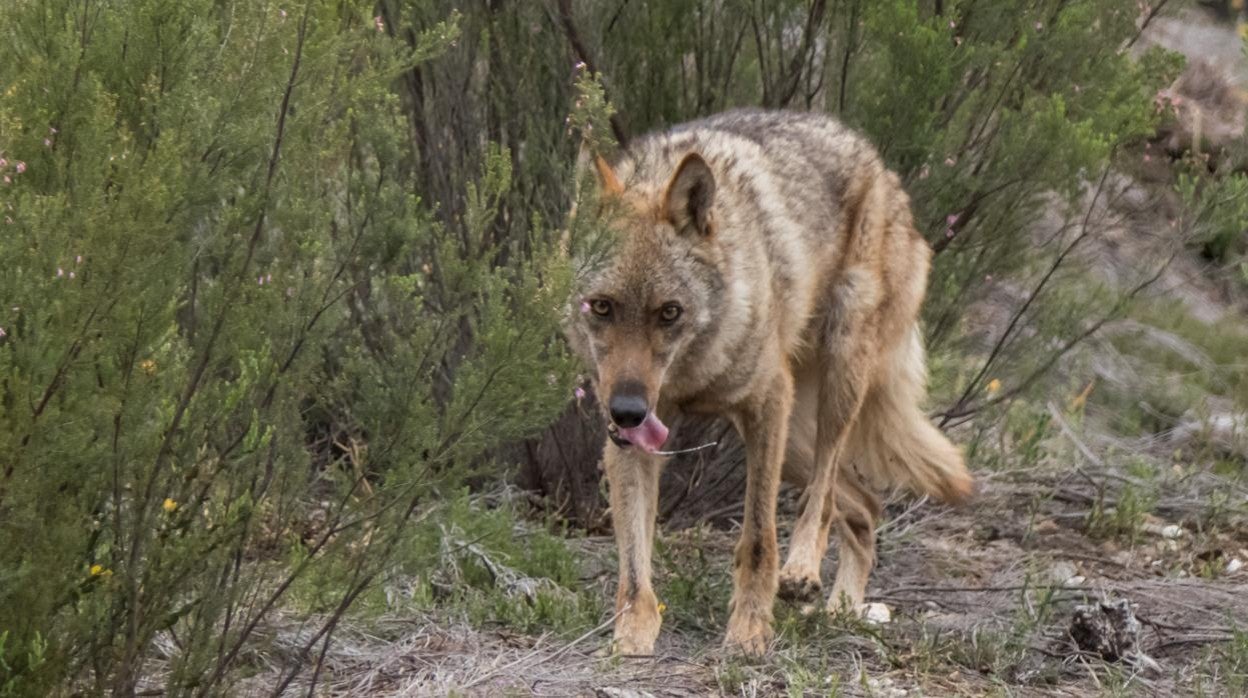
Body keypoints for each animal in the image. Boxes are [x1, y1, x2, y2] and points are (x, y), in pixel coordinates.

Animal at [566, 108, 973, 654]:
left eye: (669, 312)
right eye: (601, 307)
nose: (628, 411)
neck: (692, 372)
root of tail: (882, 168)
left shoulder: (765, 404)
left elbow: (758, 537)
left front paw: (749, 632)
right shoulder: (630, 442)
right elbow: (633, 563)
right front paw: (631, 637)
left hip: (833, 386)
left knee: (823, 497)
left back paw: (803, 572)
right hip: (794, 440)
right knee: (866, 507)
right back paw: (843, 610)